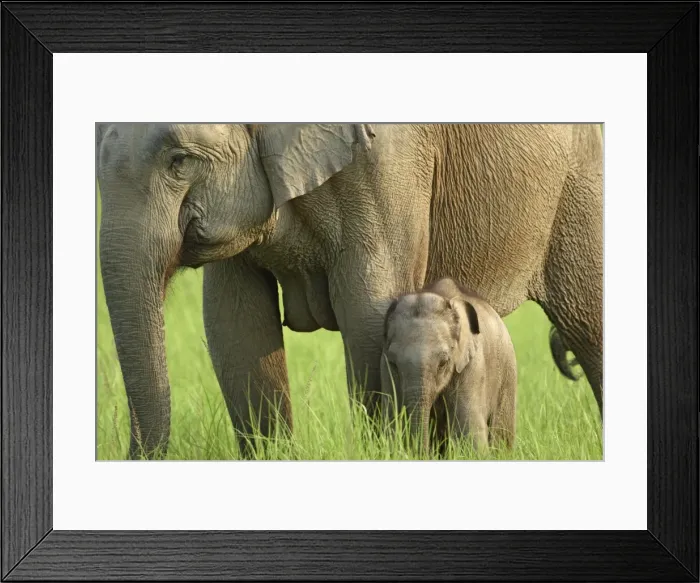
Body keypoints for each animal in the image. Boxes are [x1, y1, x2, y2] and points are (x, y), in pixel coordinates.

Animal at [380, 277, 518, 454]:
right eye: (394, 364)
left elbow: (468, 428)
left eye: (443, 363)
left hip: (508, 372)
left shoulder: (473, 364)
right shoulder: (384, 364)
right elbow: (391, 417)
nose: (423, 453)